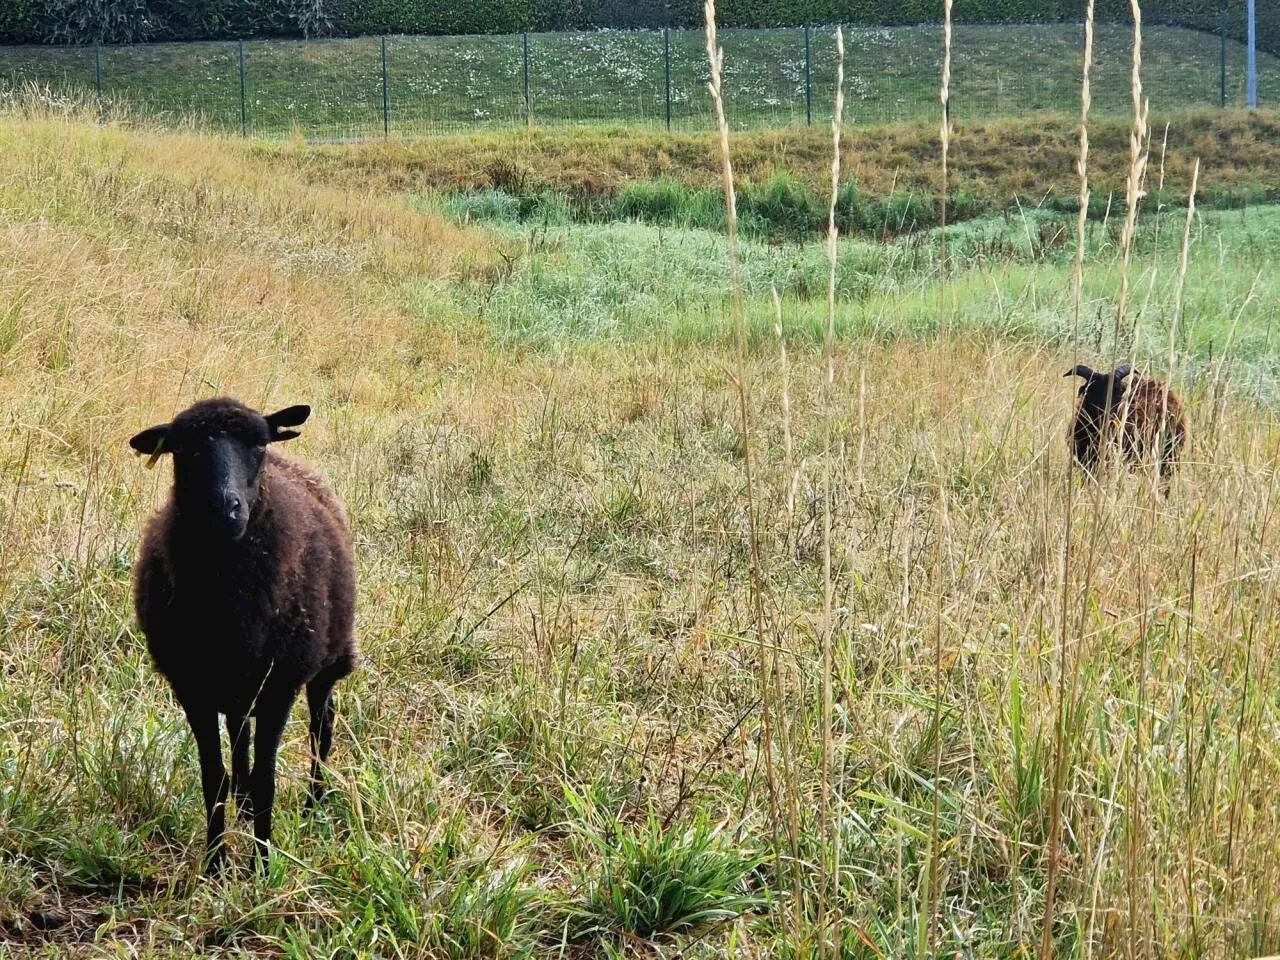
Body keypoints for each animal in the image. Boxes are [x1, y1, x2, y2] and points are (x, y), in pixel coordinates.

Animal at [129, 394, 358, 875]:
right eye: (184, 449)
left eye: (258, 444)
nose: (224, 510)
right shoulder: (192, 688)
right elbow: (213, 778)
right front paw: (216, 865)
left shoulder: (279, 687)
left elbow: (266, 779)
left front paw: (261, 867)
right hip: (236, 685)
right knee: (240, 738)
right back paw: (246, 804)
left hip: (328, 660)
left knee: (321, 728)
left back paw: (313, 803)